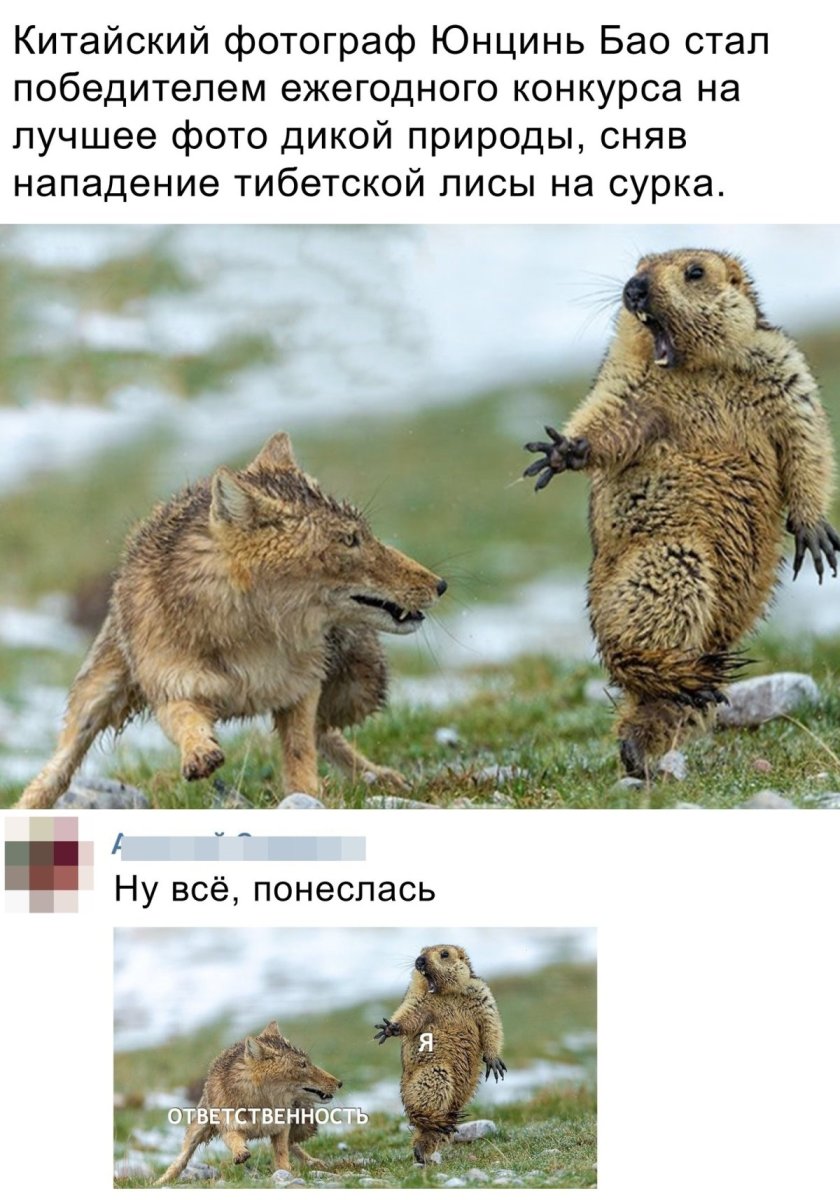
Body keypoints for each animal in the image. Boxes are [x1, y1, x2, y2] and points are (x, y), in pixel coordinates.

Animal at [18, 432, 446, 808]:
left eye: (365, 535)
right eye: (350, 540)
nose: (440, 584)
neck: (250, 637)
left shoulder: (301, 687)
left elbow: (300, 749)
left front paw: (308, 795)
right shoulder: (172, 687)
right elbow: (186, 721)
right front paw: (199, 753)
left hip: (361, 686)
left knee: (325, 731)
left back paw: (379, 776)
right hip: (96, 696)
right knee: (59, 767)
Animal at [155, 1021, 342, 1185]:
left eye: (308, 1063)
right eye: (302, 1065)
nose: (339, 1083)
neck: (262, 1105)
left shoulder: (281, 1128)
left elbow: (282, 1152)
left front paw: (286, 1172)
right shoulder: (229, 1126)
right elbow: (234, 1139)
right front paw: (240, 1153)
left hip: (304, 1126)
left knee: (292, 1144)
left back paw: (313, 1162)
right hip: (197, 1130)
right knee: (181, 1160)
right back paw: (160, 1181)